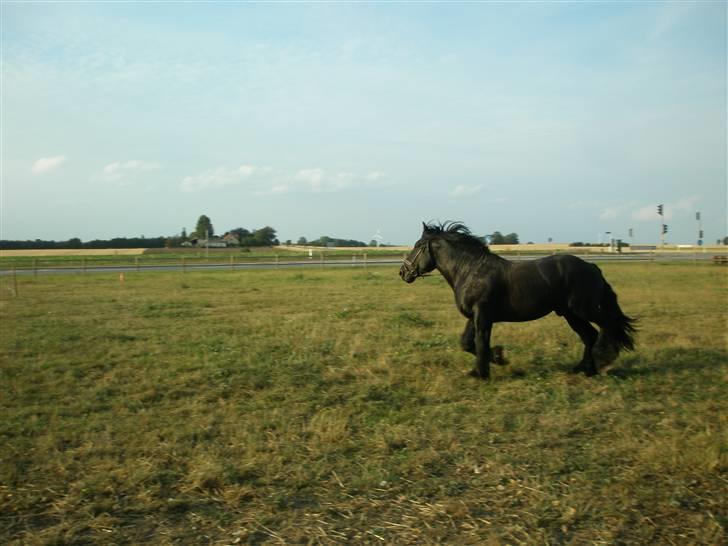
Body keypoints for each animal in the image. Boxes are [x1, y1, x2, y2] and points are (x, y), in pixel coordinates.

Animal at [400, 221, 636, 378]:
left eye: (418, 245)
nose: (403, 272)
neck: (470, 270)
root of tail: (592, 267)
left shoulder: (483, 316)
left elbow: (480, 342)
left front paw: (483, 371)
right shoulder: (474, 316)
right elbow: (466, 343)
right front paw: (498, 358)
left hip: (584, 309)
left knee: (608, 326)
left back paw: (604, 360)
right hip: (570, 314)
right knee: (590, 335)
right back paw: (585, 369)